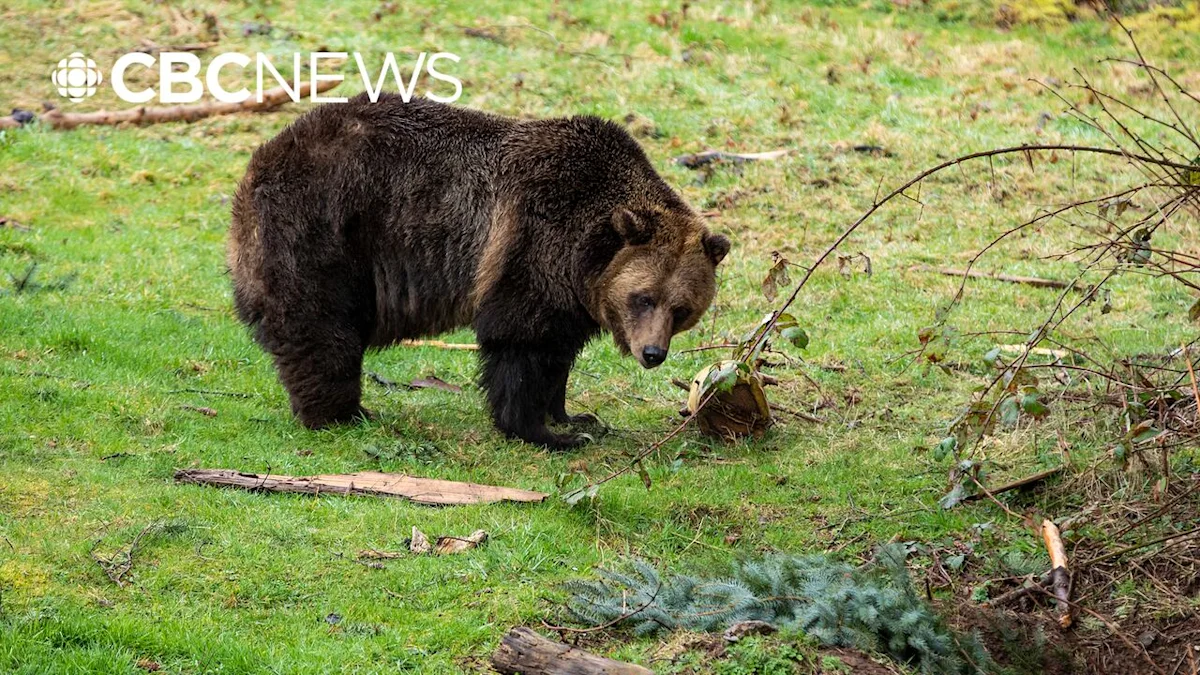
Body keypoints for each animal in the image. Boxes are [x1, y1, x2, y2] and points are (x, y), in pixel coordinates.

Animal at [228, 95, 730, 449]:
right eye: (643, 297)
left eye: (682, 309)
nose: (653, 353)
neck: (588, 254)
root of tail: (259, 164)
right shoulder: (531, 245)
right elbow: (519, 344)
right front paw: (547, 433)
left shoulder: (571, 294)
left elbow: (557, 353)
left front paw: (573, 416)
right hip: (324, 232)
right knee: (321, 328)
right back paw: (344, 413)